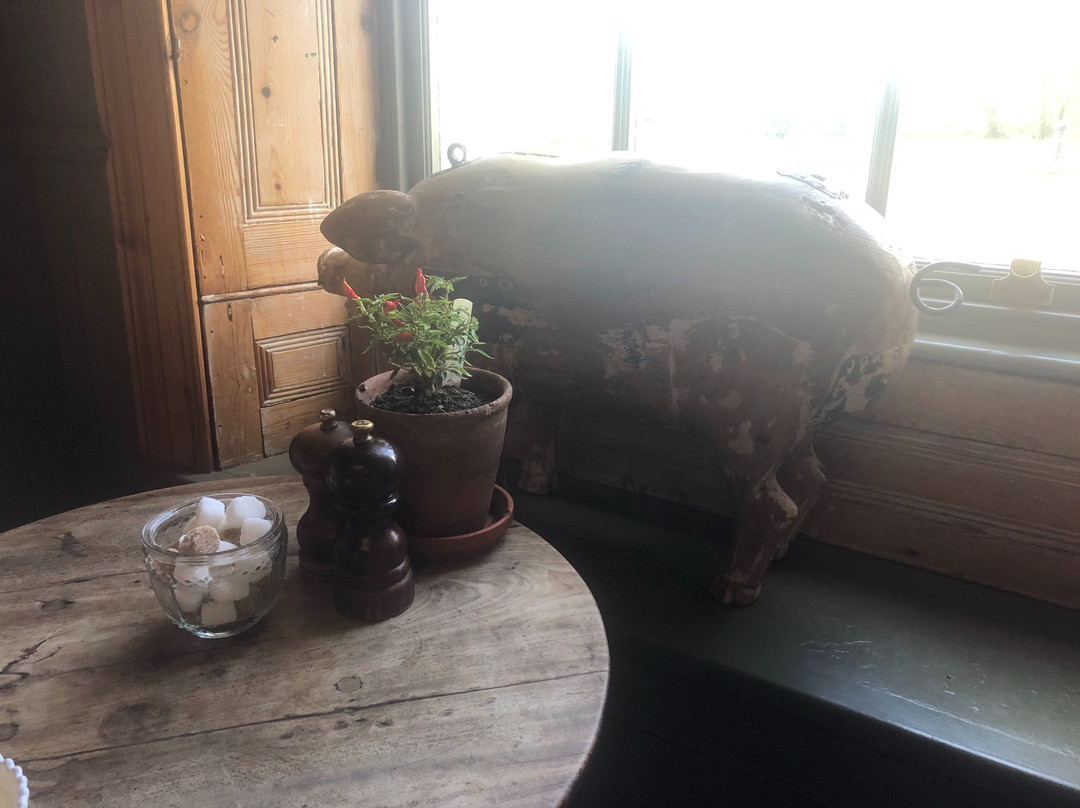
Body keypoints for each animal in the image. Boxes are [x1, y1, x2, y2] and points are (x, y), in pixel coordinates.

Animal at [319, 154, 929, 605]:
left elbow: (520, 419)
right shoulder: (545, 370)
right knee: (814, 480)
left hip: (751, 415)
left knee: (771, 503)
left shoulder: (501, 353)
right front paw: (541, 485)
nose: (324, 262)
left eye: (367, 253)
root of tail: (901, 289)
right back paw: (778, 558)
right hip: (797, 422)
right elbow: (543, 423)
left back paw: (729, 591)